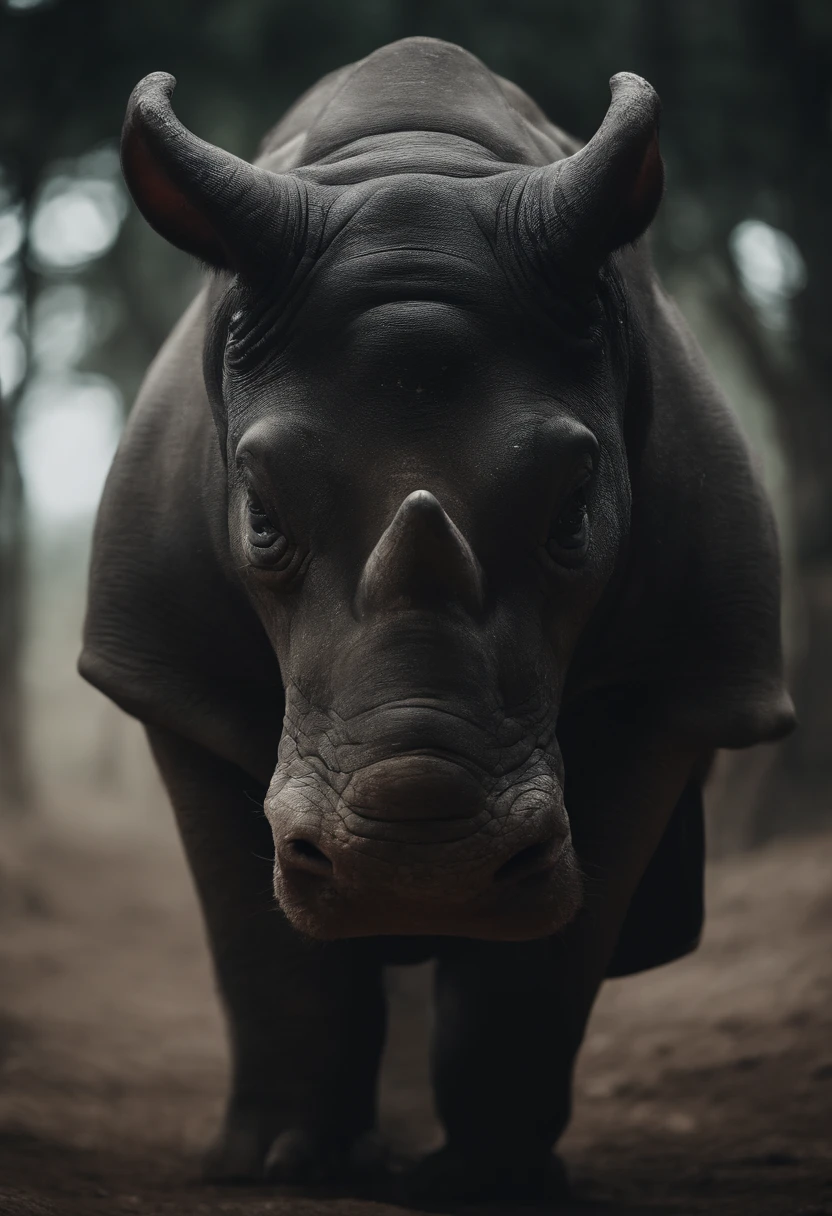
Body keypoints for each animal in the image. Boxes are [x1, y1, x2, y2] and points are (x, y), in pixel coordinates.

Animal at [80, 37, 794, 1201]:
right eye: (259, 518)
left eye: (573, 515)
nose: (418, 866)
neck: (416, 161)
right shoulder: (164, 669)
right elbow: (259, 945)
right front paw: (278, 1164)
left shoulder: (675, 682)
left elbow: (547, 961)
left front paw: (489, 1178)